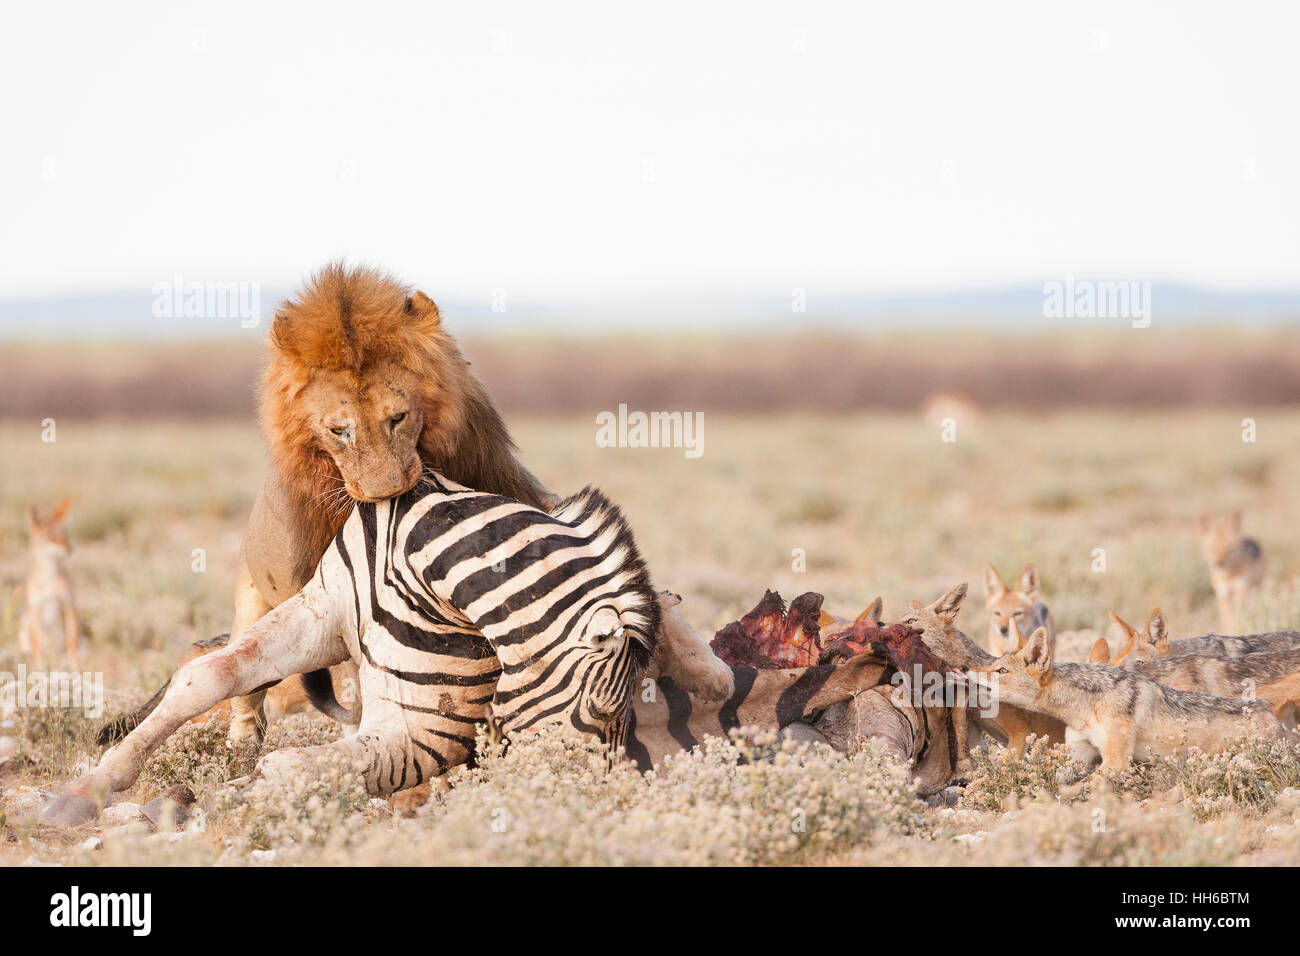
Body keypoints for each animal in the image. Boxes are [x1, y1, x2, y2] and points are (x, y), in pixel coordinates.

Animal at [223, 265, 733, 743]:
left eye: (398, 417)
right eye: (339, 430)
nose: (387, 492)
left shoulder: (525, 496)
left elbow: (638, 585)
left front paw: (710, 673)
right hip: (254, 599)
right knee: (252, 679)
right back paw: (244, 741)